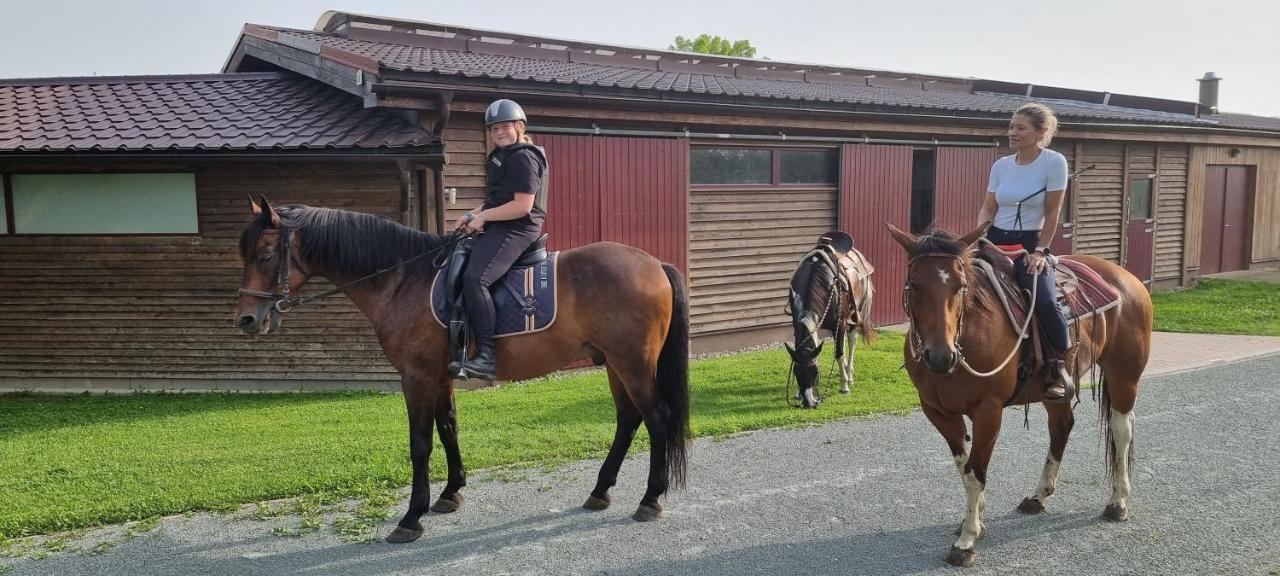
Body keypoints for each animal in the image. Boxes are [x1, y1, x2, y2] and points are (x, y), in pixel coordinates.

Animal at [230, 198, 691, 545]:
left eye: (265, 256)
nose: (247, 320)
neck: (403, 279)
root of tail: (655, 264)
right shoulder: (439, 376)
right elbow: (448, 427)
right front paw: (451, 493)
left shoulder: (415, 377)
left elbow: (420, 444)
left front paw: (411, 517)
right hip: (614, 363)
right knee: (628, 419)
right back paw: (600, 491)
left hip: (633, 363)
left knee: (657, 418)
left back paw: (650, 498)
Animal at [783, 231, 875, 407]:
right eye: (796, 373)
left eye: (815, 373)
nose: (808, 403)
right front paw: (797, 393)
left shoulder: (840, 322)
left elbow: (839, 353)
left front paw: (844, 386)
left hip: (855, 314)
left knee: (851, 342)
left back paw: (849, 375)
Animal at [890, 222, 1152, 568]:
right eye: (915, 284)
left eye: (960, 285)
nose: (940, 356)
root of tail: (1127, 278)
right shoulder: (938, 411)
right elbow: (964, 466)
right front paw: (976, 520)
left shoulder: (988, 411)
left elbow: (975, 471)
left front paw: (966, 541)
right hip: (1056, 390)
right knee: (1062, 426)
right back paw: (1038, 496)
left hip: (1124, 375)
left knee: (1122, 430)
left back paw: (1118, 502)